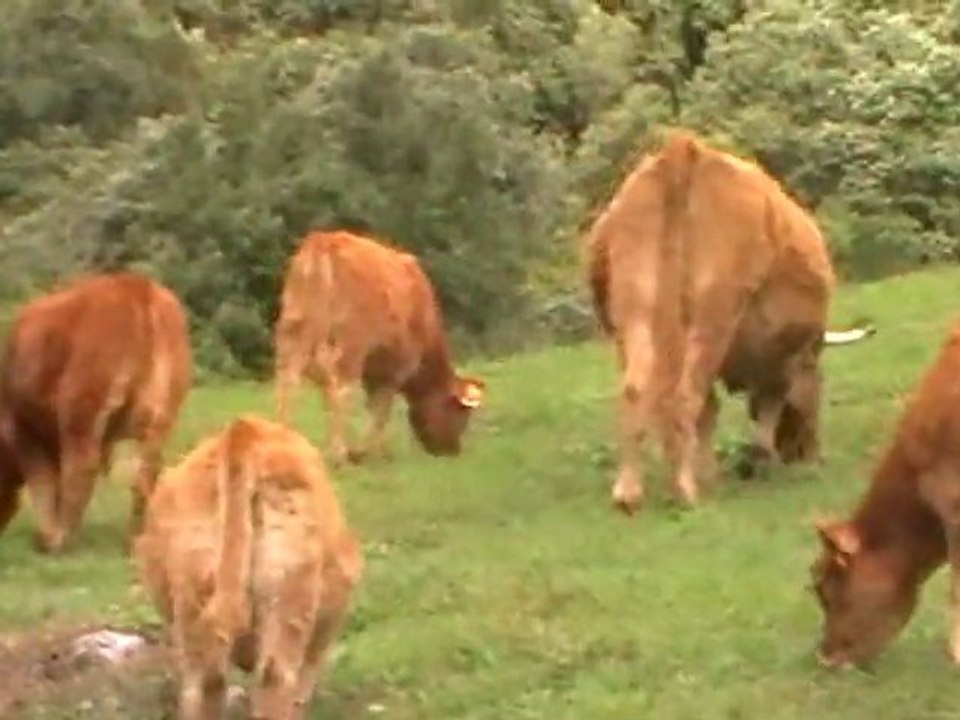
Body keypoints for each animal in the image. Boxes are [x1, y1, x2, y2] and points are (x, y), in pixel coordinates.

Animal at [0, 272, 191, 553]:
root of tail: (137, 284)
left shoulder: (23, 429)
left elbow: (43, 481)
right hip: (161, 419)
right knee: (147, 473)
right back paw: (135, 538)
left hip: (80, 410)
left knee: (80, 467)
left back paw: (59, 540)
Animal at [274, 230, 486, 466]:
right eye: (462, 415)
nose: (452, 452)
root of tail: (325, 238)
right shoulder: (394, 371)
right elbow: (381, 410)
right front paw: (368, 452)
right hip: (350, 346)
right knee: (339, 390)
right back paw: (338, 454)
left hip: (291, 335)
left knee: (288, 382)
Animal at [586, 130, 873, 513]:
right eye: (819, 384)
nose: (805, 455)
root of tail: (685, 150)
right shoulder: (781, 361)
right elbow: (766, 408)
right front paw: (755, 461)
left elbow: (711, 412)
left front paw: (711, 471)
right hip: (714, 316)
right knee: (684, 396)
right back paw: (685, 493)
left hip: (635, 312)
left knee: (638, 391)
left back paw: (629, 493)